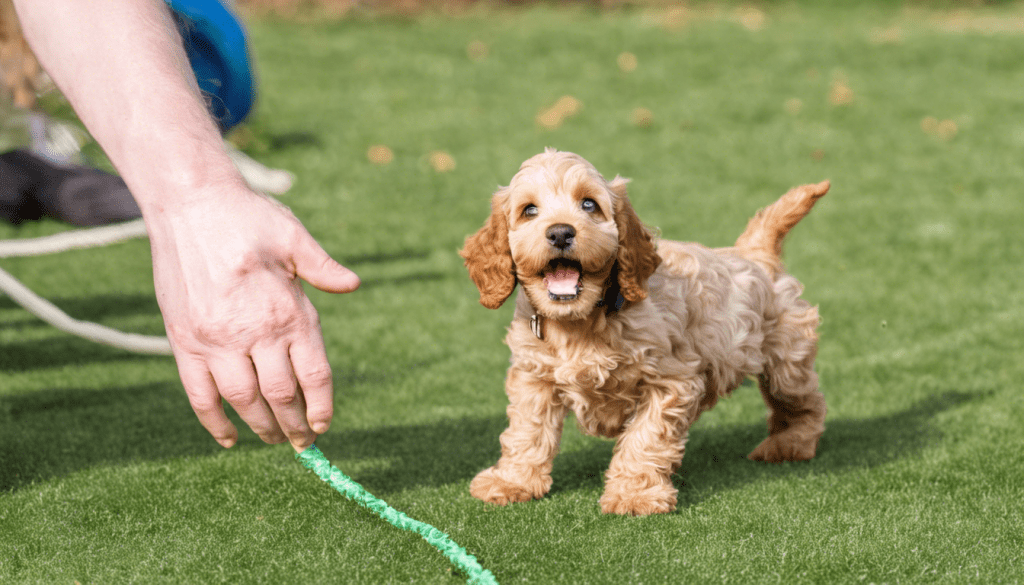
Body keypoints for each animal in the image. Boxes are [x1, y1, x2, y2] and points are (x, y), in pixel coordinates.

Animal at [460, 148, 827, 514]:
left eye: (589, 204)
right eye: (529, 210)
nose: (561, 233)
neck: (580, 323)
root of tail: (754, 252)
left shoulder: (672, 380)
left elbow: (645, 437)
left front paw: (635, 494)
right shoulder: (534, 376)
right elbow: (527, 431)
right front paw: (512, 481)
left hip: (786, 359)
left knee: (805, 402)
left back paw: (789, 444)